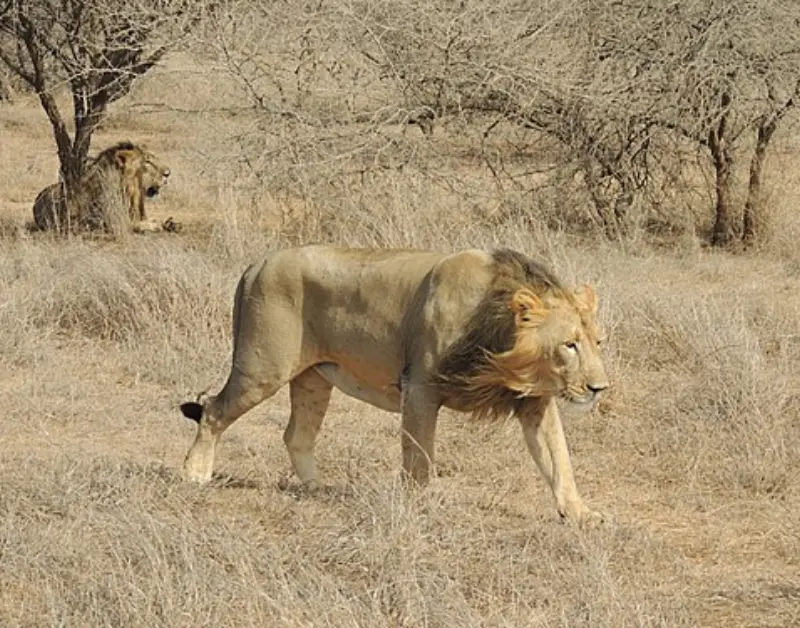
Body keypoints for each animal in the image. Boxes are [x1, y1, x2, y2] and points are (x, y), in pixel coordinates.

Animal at [31, 141, 171, 234]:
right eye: (147, 162)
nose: (168, 173)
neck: (132, 190)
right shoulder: (115, 223)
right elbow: (137, 224)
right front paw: (157, 225)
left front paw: (170, 223)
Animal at [180, 246, 609, 525]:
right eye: (569, 345)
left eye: (598, 342)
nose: (599, 388)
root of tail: (257, 263)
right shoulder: (419, 387)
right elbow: (419, 458)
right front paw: (418, 506)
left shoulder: (535, 402)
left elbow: (560, 458)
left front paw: (580, 513)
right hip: (262, 367)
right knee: (212, 409)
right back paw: (195, 473)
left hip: (312, 379)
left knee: (296, 434)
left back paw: (317, 489)